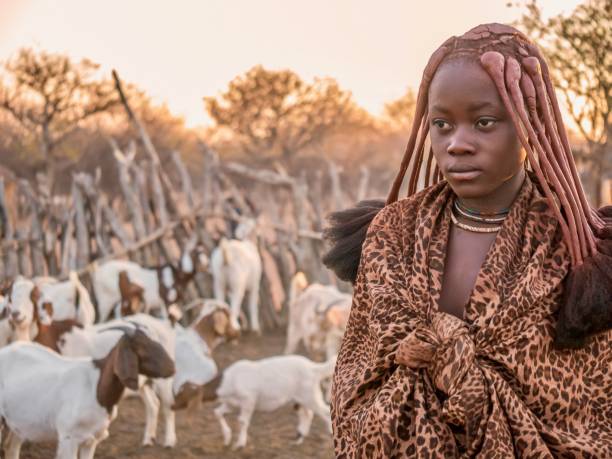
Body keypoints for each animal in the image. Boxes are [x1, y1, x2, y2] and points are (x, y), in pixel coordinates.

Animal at [0, 328, 175, 458]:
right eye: (142, 347)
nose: (172, 367)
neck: (96, 388)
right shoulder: (68, 438)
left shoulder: (92, 440)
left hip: (18, 423)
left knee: (11, 447)